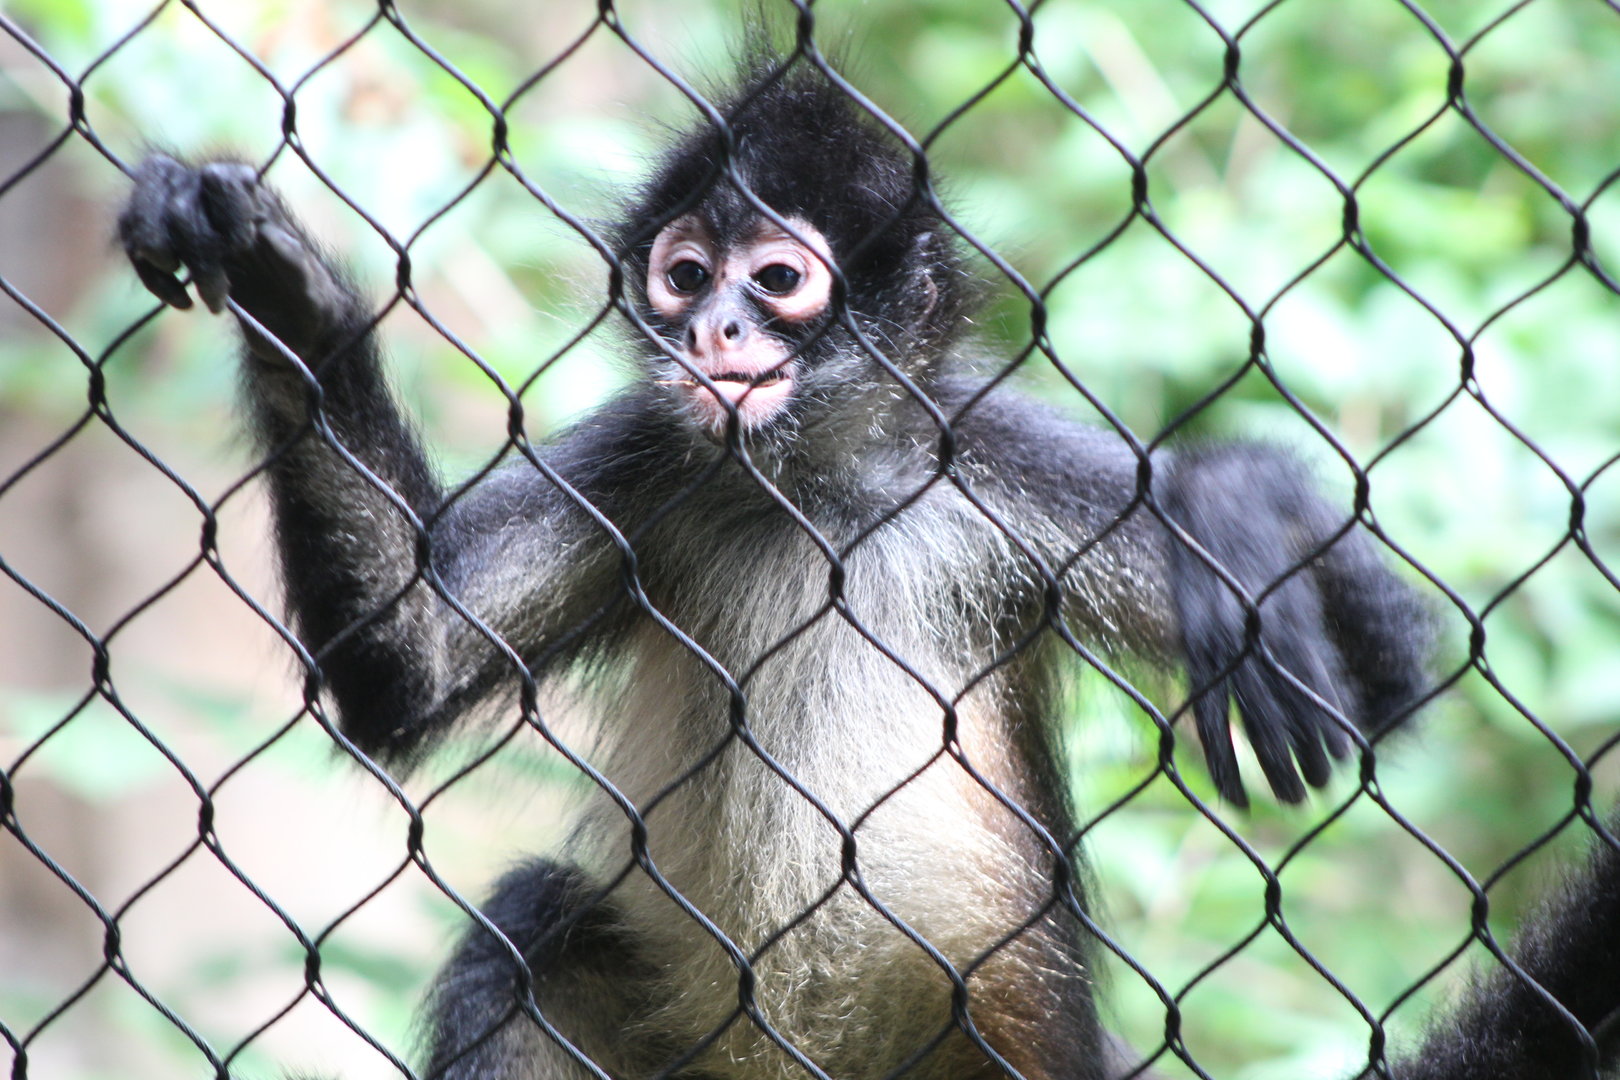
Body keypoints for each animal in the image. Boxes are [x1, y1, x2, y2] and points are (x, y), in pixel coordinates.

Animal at [116, 53, 1618, 1080]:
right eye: (682, 274)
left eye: (777, 280)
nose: (715, 332)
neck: (813, 499)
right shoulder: (648, 460)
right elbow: (406, 670)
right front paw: (284, 291)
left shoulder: (992, 465)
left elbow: (1383, 693)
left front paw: (1240, 505)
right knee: (529, 934)